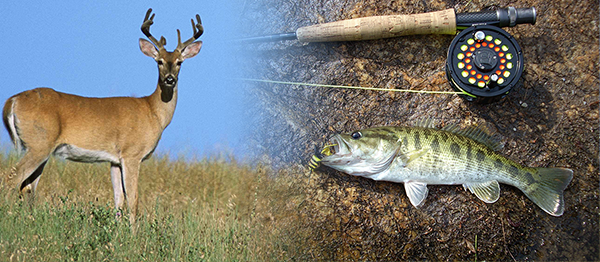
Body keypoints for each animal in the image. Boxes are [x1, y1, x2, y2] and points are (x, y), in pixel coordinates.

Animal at [1, 9, 204, 224]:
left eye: (180, 62)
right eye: (159, 61)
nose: (170, 79)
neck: (152, 112)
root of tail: (12, 101)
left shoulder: (114, 160)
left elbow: (118, 200)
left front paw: (118, 229)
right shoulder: (132, 154)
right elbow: (133, 200)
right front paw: (134, 230)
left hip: (35, 147)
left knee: (27, 187)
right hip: (39, 144)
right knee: (11, 179)